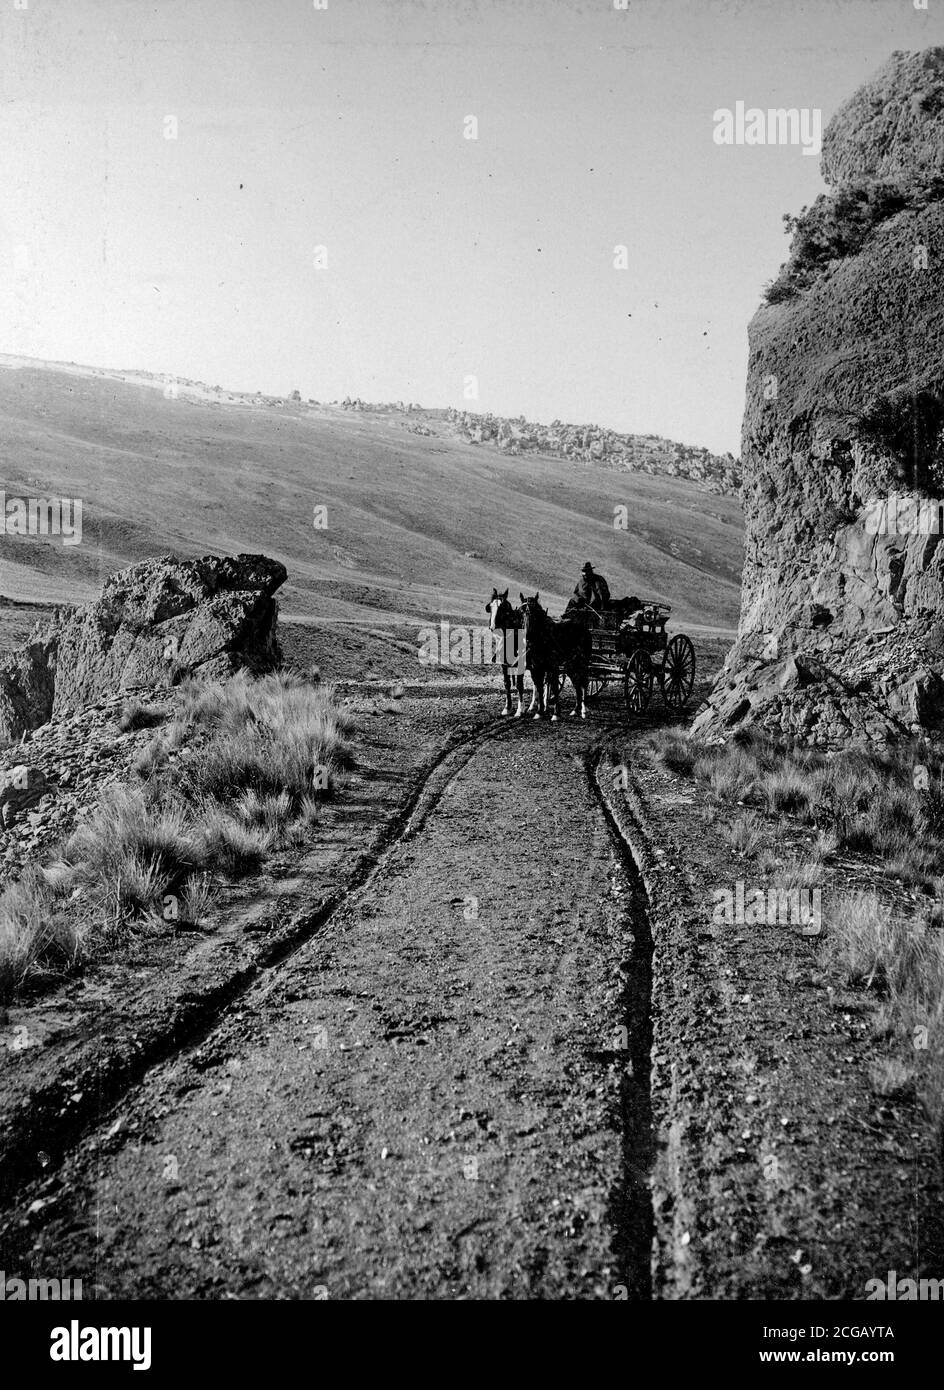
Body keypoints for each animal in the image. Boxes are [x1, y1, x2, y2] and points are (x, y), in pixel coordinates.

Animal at [517, 592, 589, 722]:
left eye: (536, 612)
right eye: (521, 611)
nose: (527, 635)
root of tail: (584, 628)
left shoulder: (553, 667)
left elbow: (554, 687)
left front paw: (556, 714)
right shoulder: (536, 668)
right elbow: (539, 687)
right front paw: (539, 711)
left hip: (582, 663)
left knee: (584, 682)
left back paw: (584, 710)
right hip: (570, 666)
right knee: (577, 683)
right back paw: (575, 710)